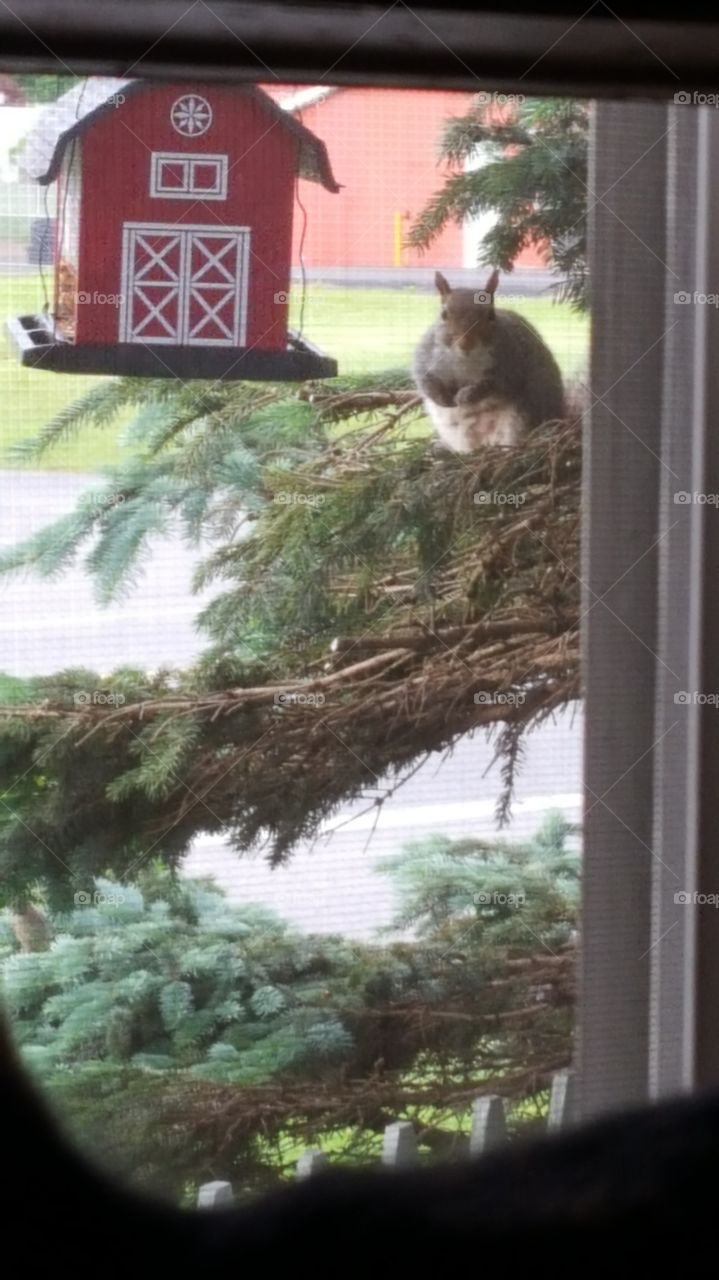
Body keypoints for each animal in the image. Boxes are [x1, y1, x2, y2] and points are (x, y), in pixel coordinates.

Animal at [413, 270, 566, 453]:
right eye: (444, 314)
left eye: (490, 315)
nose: (466, 344)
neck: (464, 360)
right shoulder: (427, 355)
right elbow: (424, 379)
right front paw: (440, 397)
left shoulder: (511, 363)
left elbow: (492, 386)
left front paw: (467, 395)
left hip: (520, 420)